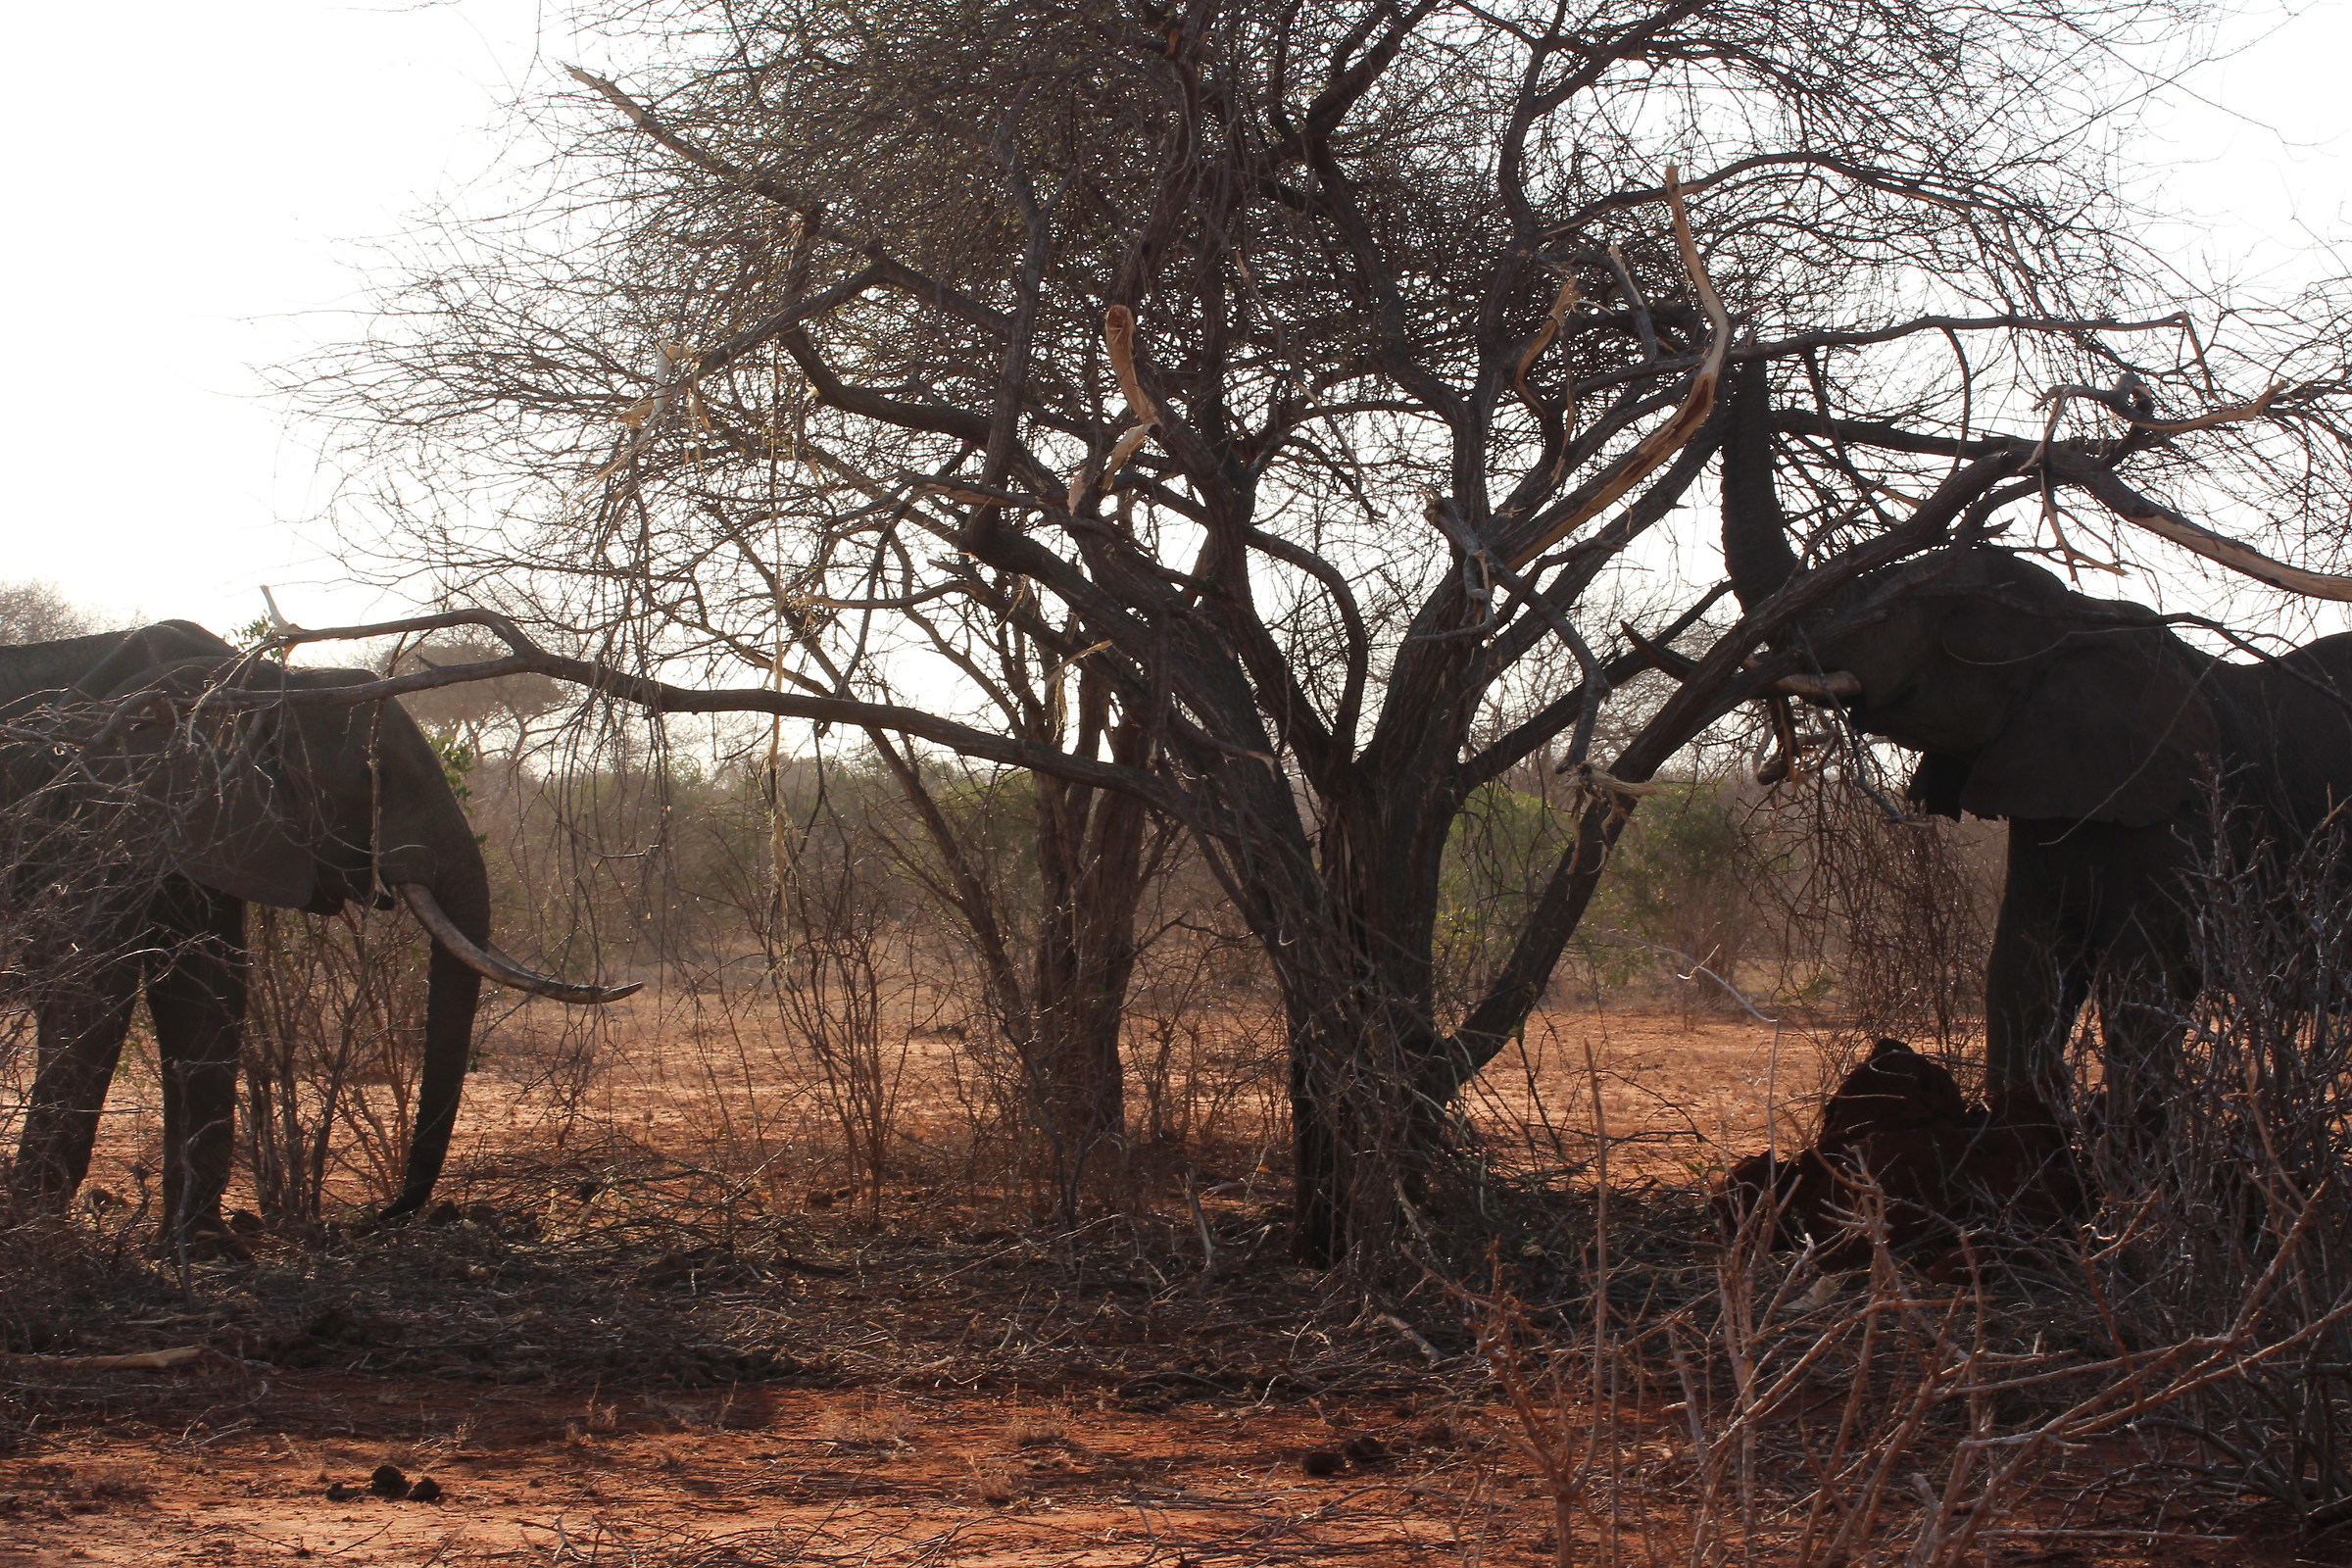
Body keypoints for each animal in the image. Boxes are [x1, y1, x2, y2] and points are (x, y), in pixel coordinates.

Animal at [0, 621, 638, 1241]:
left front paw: (208, 1248)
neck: (264, 683)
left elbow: (208, 989)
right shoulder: (98, 809)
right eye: (375, 775)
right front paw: (42, 1242)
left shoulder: (209, 831)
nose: (381, 1215)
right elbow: (85, 985)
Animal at [1716, 363, 2352, 1129]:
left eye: (1952, 618)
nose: (1744, 348)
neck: (2085, 617)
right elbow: (2023, 968)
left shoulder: (2182, 822)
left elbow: (2142, 985)